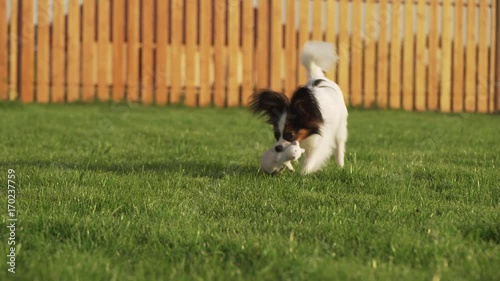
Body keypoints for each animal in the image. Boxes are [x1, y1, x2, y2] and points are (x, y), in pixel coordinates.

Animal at [250, 41, 348, 173]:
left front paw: (304, 173)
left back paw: (340, 166)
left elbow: (311, 158)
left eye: (289, 134)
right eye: (276, 134)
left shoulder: (320, 141)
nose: (277, 148)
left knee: (339, 147)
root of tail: (319, 77)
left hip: (340, 129)